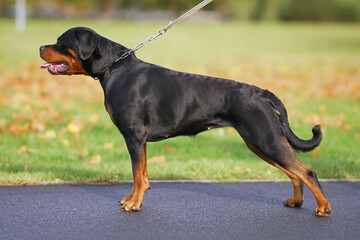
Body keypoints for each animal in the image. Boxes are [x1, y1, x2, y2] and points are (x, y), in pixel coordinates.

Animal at [40, 26, 332, 216]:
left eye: (60, 42)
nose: (41, 47)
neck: (114, 67)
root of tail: (263, 93)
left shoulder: (134, 135)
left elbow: (137, 174)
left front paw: (134, 204)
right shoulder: (139, 139)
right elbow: (142, 173)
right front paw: (133, 199)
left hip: (265, 139)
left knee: (306, 171)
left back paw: (323, 207)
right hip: (259, 142)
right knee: (294, 172)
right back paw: (296, 202)